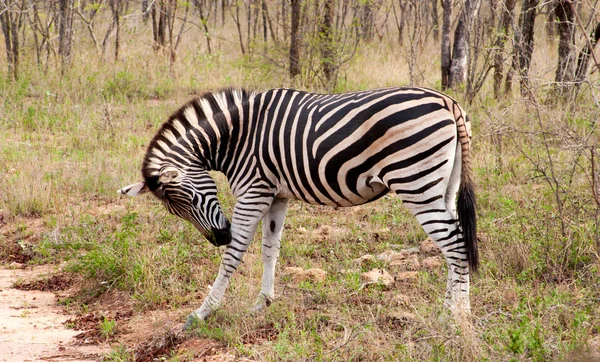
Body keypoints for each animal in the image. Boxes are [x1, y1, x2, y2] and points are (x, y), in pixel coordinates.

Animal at [118, 86, 478, 330]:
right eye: (176, 213)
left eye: (191, 200)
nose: (219, 237)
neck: (235, 136)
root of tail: (448, 102)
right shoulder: (276, 195)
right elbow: (270, 249)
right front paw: (262, 303)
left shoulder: (253, 191)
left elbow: (234, 257)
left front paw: (202, 312)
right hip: (444, 186)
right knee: (455, 242)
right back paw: (448, 311)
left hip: (416, 182)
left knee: (454, 245)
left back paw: (458, 317)